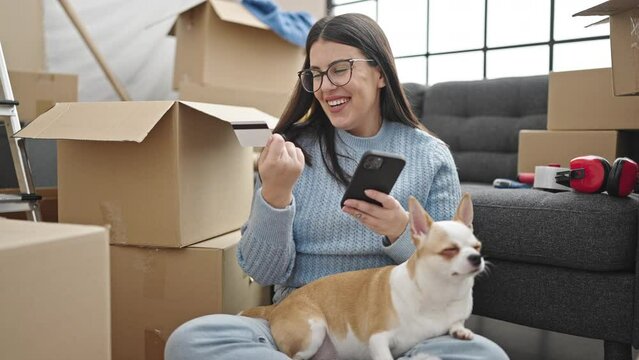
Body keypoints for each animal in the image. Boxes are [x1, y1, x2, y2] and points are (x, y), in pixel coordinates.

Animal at [242, 194, 482, 360]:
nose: (476, 258)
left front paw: (461, 331)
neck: (438, 294)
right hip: (313, 330)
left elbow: (456, 322)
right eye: (449, 250)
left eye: (477, 247)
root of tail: (277, 307)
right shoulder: (378, 339)